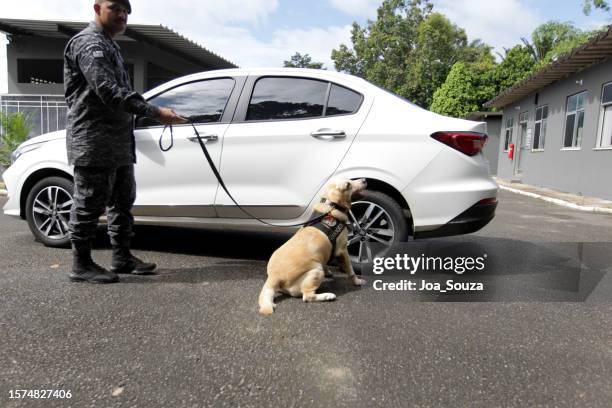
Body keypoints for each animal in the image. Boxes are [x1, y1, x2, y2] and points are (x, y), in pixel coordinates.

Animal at [260, 177, 368, 314]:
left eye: (351, 179)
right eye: (348, 184)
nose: (365, 180)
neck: (331, 207)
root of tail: (274, 277)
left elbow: (326, 262)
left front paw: (329, 272)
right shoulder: (343, 250)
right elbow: (351, 270)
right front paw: (357, 281)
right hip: (316, 269)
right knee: (307, 296)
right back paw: (328, 296)